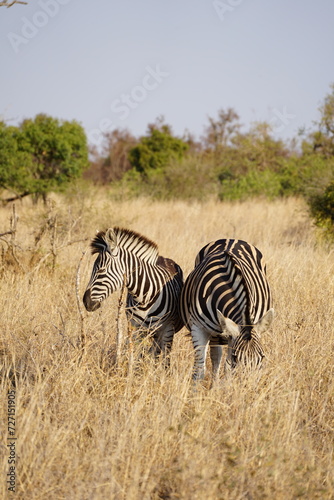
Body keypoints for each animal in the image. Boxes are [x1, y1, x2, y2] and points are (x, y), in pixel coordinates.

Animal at [82, 229, 184, 362]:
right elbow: (137, 358)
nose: (85, 301)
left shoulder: (167, 330)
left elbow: (166, 361)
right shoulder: (135, 329)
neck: (144, 298)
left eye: (101, 270)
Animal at [180, 238, 274, 378]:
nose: (249, 383)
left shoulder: (232, 336)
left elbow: (228, 368)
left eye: (262, 357)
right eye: (236, 357)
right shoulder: (198, 327)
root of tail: (231, 239)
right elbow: (200, 368)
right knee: (216, 356)